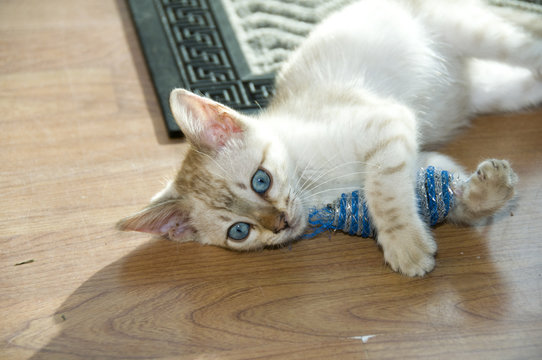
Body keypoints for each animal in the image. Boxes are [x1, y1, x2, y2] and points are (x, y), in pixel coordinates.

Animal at [119, 0, 542, 276]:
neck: (313, 186)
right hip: (496, 92)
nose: (281, 224)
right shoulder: (422, 157)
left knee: (529, 46)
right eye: (239, 231)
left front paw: (404, 245)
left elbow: (383, 192)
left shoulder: (387, 123)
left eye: (261, 180)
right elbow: (450, 195)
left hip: (479, 36)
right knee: (527, 83)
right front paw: (490, 192)